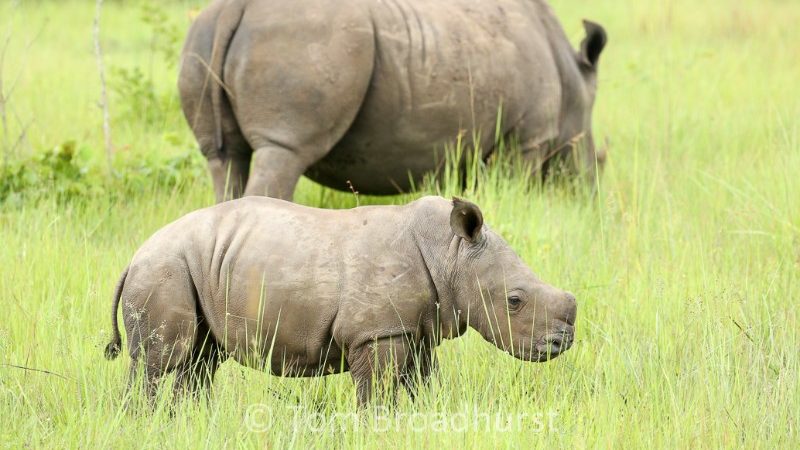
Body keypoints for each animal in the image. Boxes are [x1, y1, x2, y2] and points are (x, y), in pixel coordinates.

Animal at [104, 195, 576, 406]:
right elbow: (378, 392)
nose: (563, 342)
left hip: (193, 268)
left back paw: (186, 419)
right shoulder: (377, 332)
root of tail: (133, 256)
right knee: (161, 361)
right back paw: (143, 419)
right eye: (515, 300)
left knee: (200, 360)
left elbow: (422, 383)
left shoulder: (412, 328)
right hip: (164, 268)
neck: (450, 253)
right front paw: (376, 427)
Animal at [180, 0, 608, 200]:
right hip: (304, 41)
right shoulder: (526, 140)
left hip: (201, 35)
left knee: (223, 159)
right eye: (599, 160)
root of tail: (236, 7)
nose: (589, 197)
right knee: (283, 151)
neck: (572, 78)